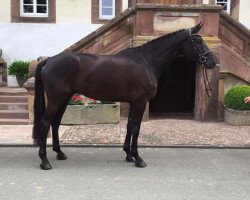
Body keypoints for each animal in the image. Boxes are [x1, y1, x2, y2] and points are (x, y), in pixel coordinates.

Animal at [33, 22, 217, 170]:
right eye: (198, 41)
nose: (212, 62)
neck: (145, 62)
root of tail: (50, 60)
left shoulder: (133, 102)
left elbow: (129, 126)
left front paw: (128, 155)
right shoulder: (141, 102)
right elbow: (136, 128)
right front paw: (138, 158)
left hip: (64, 99)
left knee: (55, 123)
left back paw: (60, 153)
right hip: (56, 99)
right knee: (45, 123)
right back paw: (44, 161)